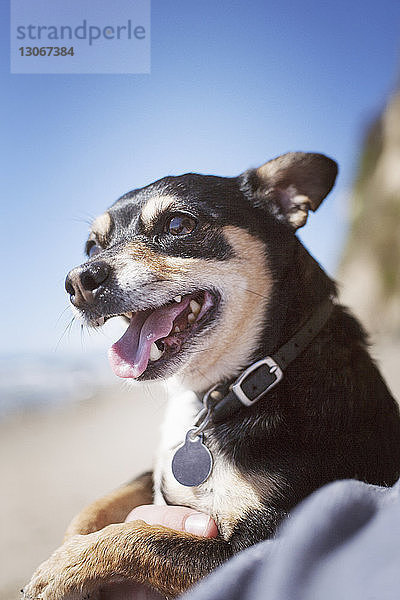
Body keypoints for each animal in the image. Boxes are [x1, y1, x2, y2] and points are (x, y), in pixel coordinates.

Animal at [23, 154, 400, 600]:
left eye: (178, 225)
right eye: (92, 247)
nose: (78, 280)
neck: (219, 391)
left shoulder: (259, 542)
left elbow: (139, 537)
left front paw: (62, 567)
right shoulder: (153, 474)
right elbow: (97, 506)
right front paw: (68, 550)